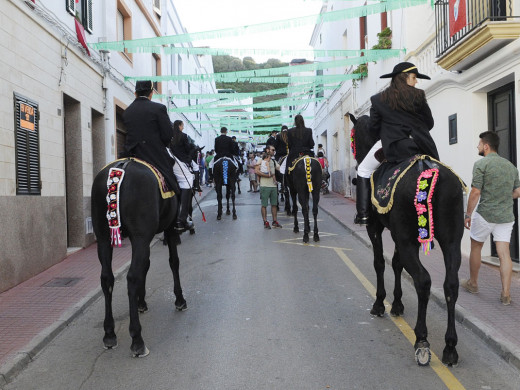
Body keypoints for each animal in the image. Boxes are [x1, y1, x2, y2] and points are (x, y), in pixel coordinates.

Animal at [92, 158, 188, 356]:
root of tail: (120, 169)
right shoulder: (166, 230)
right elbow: (173, 262)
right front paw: (180, 300)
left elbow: (146, 265)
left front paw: (141, 302)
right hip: (140, 236)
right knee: (132, 277)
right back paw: (137, 339)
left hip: (103, 238)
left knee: (107, 279)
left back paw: (109, 334)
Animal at [352, 112, 466, 366]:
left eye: (353, 137)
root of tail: (428, 170)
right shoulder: (399, 235)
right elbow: (396, 264)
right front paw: (397, 304)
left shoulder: (377, 228)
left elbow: (380, 263)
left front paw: (380, 304)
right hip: (451, 242)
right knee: (451, 284)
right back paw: (450, 346)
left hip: (407, 241)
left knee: (423, 280)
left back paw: (422, 340)